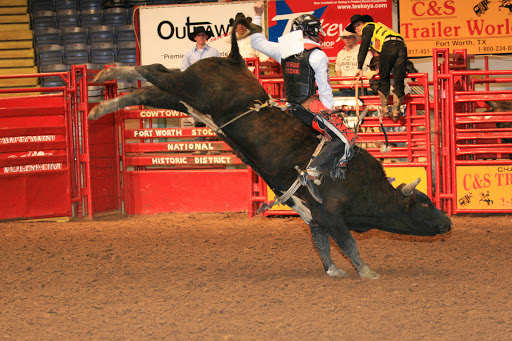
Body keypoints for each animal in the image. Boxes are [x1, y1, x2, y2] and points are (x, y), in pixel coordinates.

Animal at [88, 26, 452, 278]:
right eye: (424, 204)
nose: (447, 222)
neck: (365, 188)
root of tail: (235, 59)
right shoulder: (332, 215)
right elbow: (348, 244)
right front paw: (368, 272)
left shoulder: (315, 218)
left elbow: (323, 246)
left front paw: (333, 271)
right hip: (190, 89)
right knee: (153, 71)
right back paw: (109, 73)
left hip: (184, 99)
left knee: (149, 90)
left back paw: (101, 103)